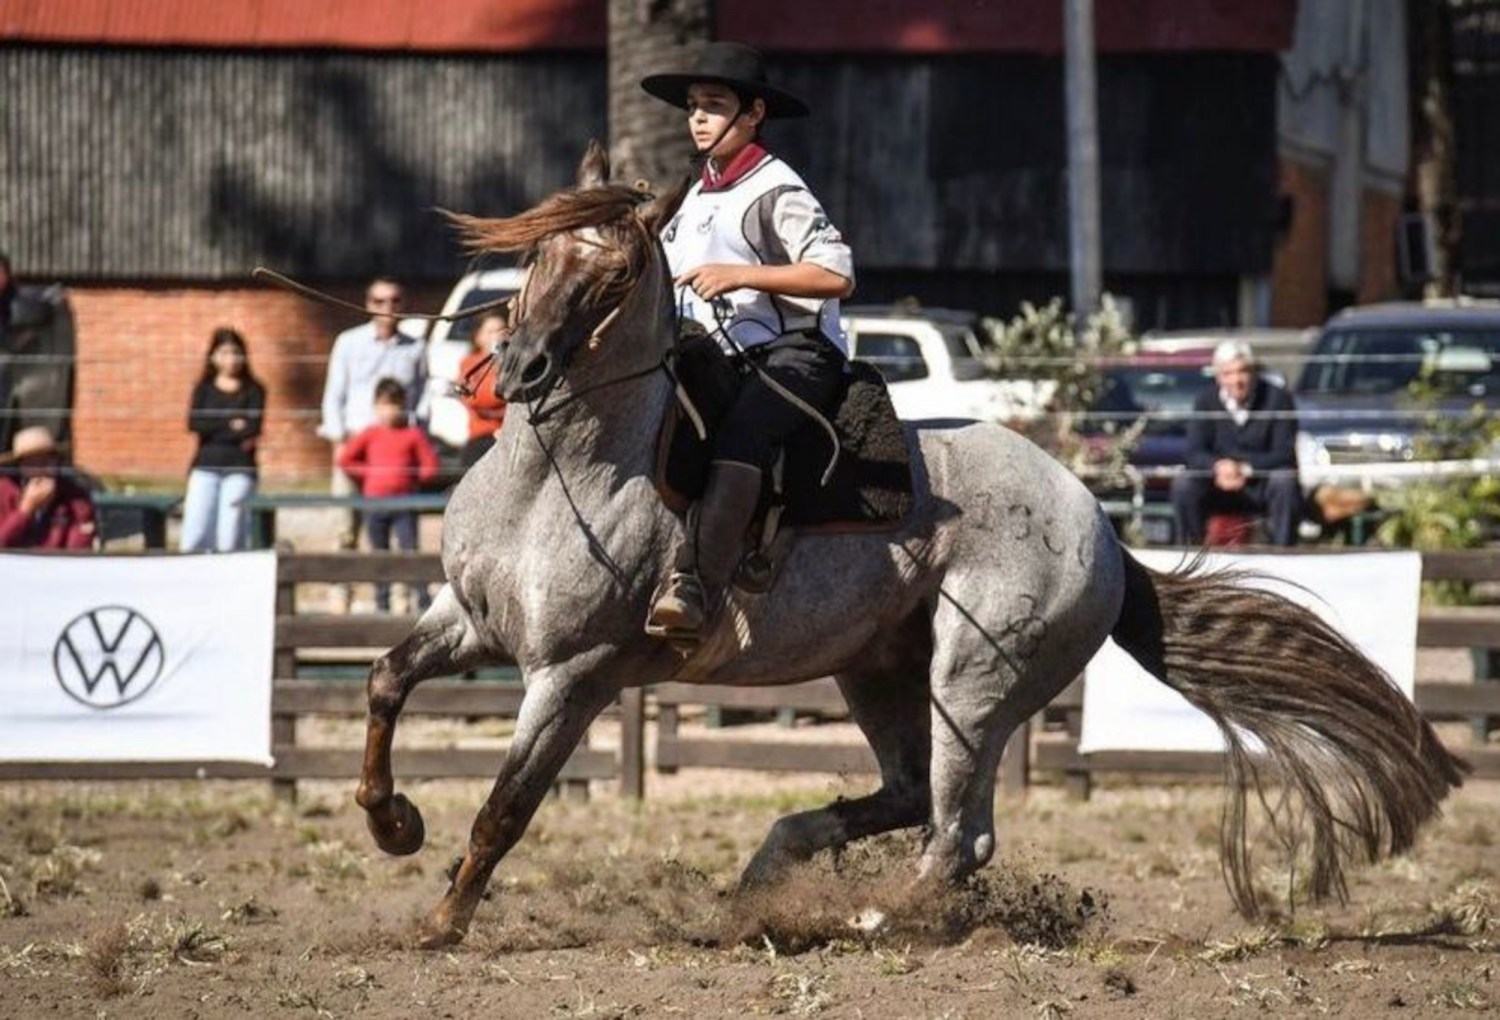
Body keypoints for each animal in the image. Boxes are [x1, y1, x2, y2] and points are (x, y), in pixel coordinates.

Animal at [360, 143, 1464, 948]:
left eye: (620, 266)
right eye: (541, 251)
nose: (521, 367)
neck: (570, 470)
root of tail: (1104, 533)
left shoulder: (573, 673)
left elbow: (507, 805)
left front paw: (442, 922)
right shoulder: (468, 620)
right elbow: (384, 682)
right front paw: (392, 822)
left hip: (973, 682)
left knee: (957, 833)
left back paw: (873, 916)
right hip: (881, 669)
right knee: (903, 795)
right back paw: (771, 871)